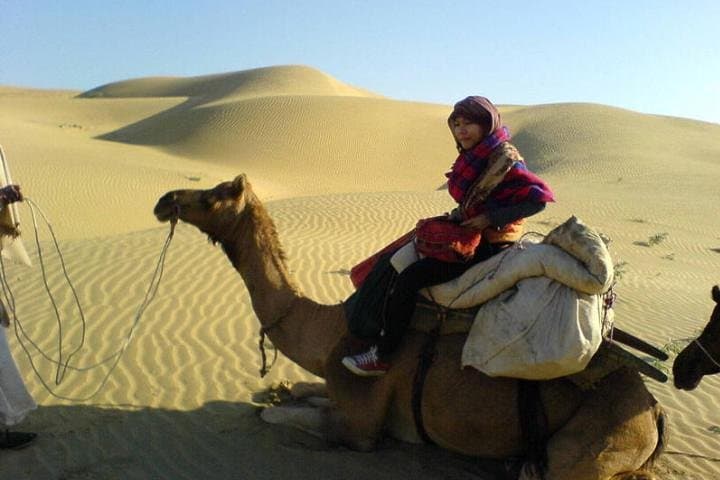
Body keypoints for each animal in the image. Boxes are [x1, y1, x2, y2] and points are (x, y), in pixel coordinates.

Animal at [154, 174, 666, 480]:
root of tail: (654, 409)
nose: (165, 200)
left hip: (589, 446)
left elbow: (274, 415)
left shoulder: (360, 428)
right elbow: (295, 392)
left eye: (214, 196)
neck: (333, 329)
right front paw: (281, 388)